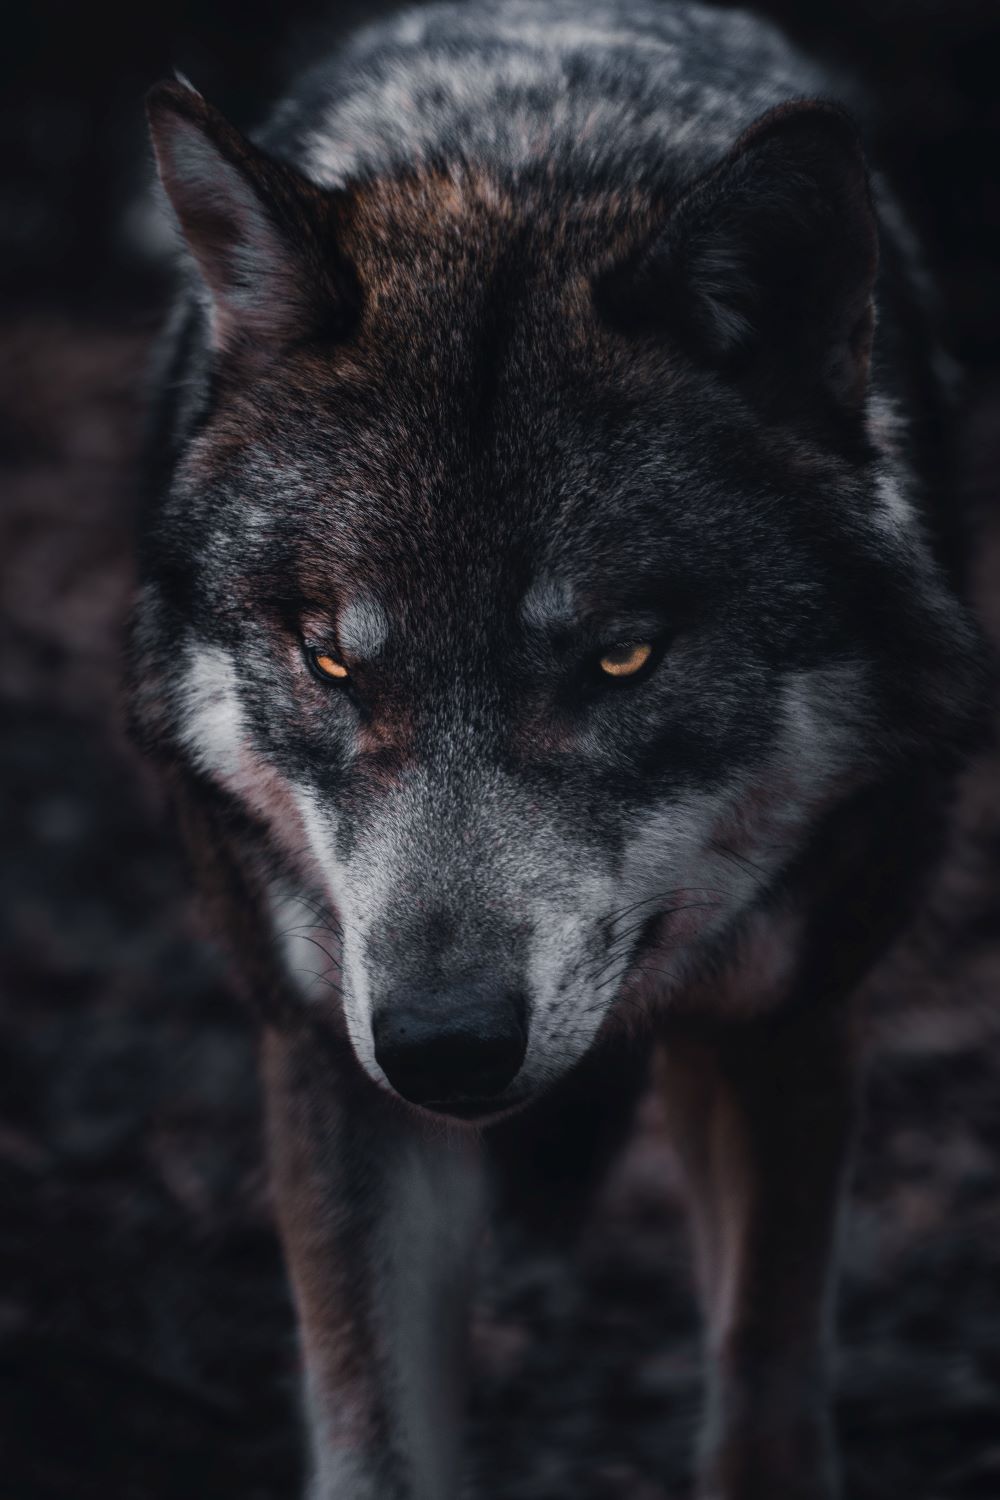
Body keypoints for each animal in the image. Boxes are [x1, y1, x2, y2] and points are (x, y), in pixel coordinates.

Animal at [131, 1, 987, 1496]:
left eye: (620, 658)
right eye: (333, 662)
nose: (442, 1045)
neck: (526, 160)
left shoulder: (789, 1022)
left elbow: (764, 1390)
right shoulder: (328, 1058)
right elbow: (375, 1441)